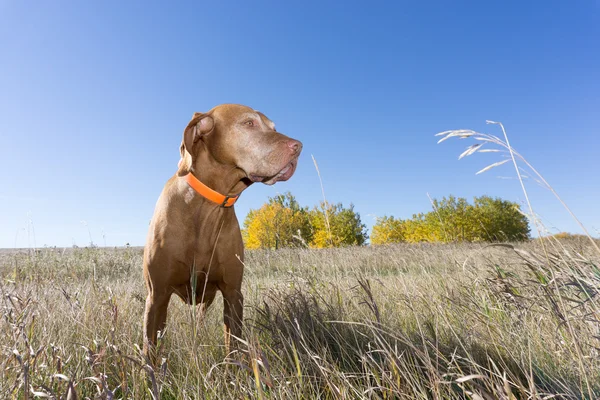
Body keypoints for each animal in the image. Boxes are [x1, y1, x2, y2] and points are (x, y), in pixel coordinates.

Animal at [143, 103, 302, 360]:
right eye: (249, 123)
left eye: (274, 128)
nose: (298, 147)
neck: (206, 209)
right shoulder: (157, 297)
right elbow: (151, 352)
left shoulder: (233, 294)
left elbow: (233, 349)